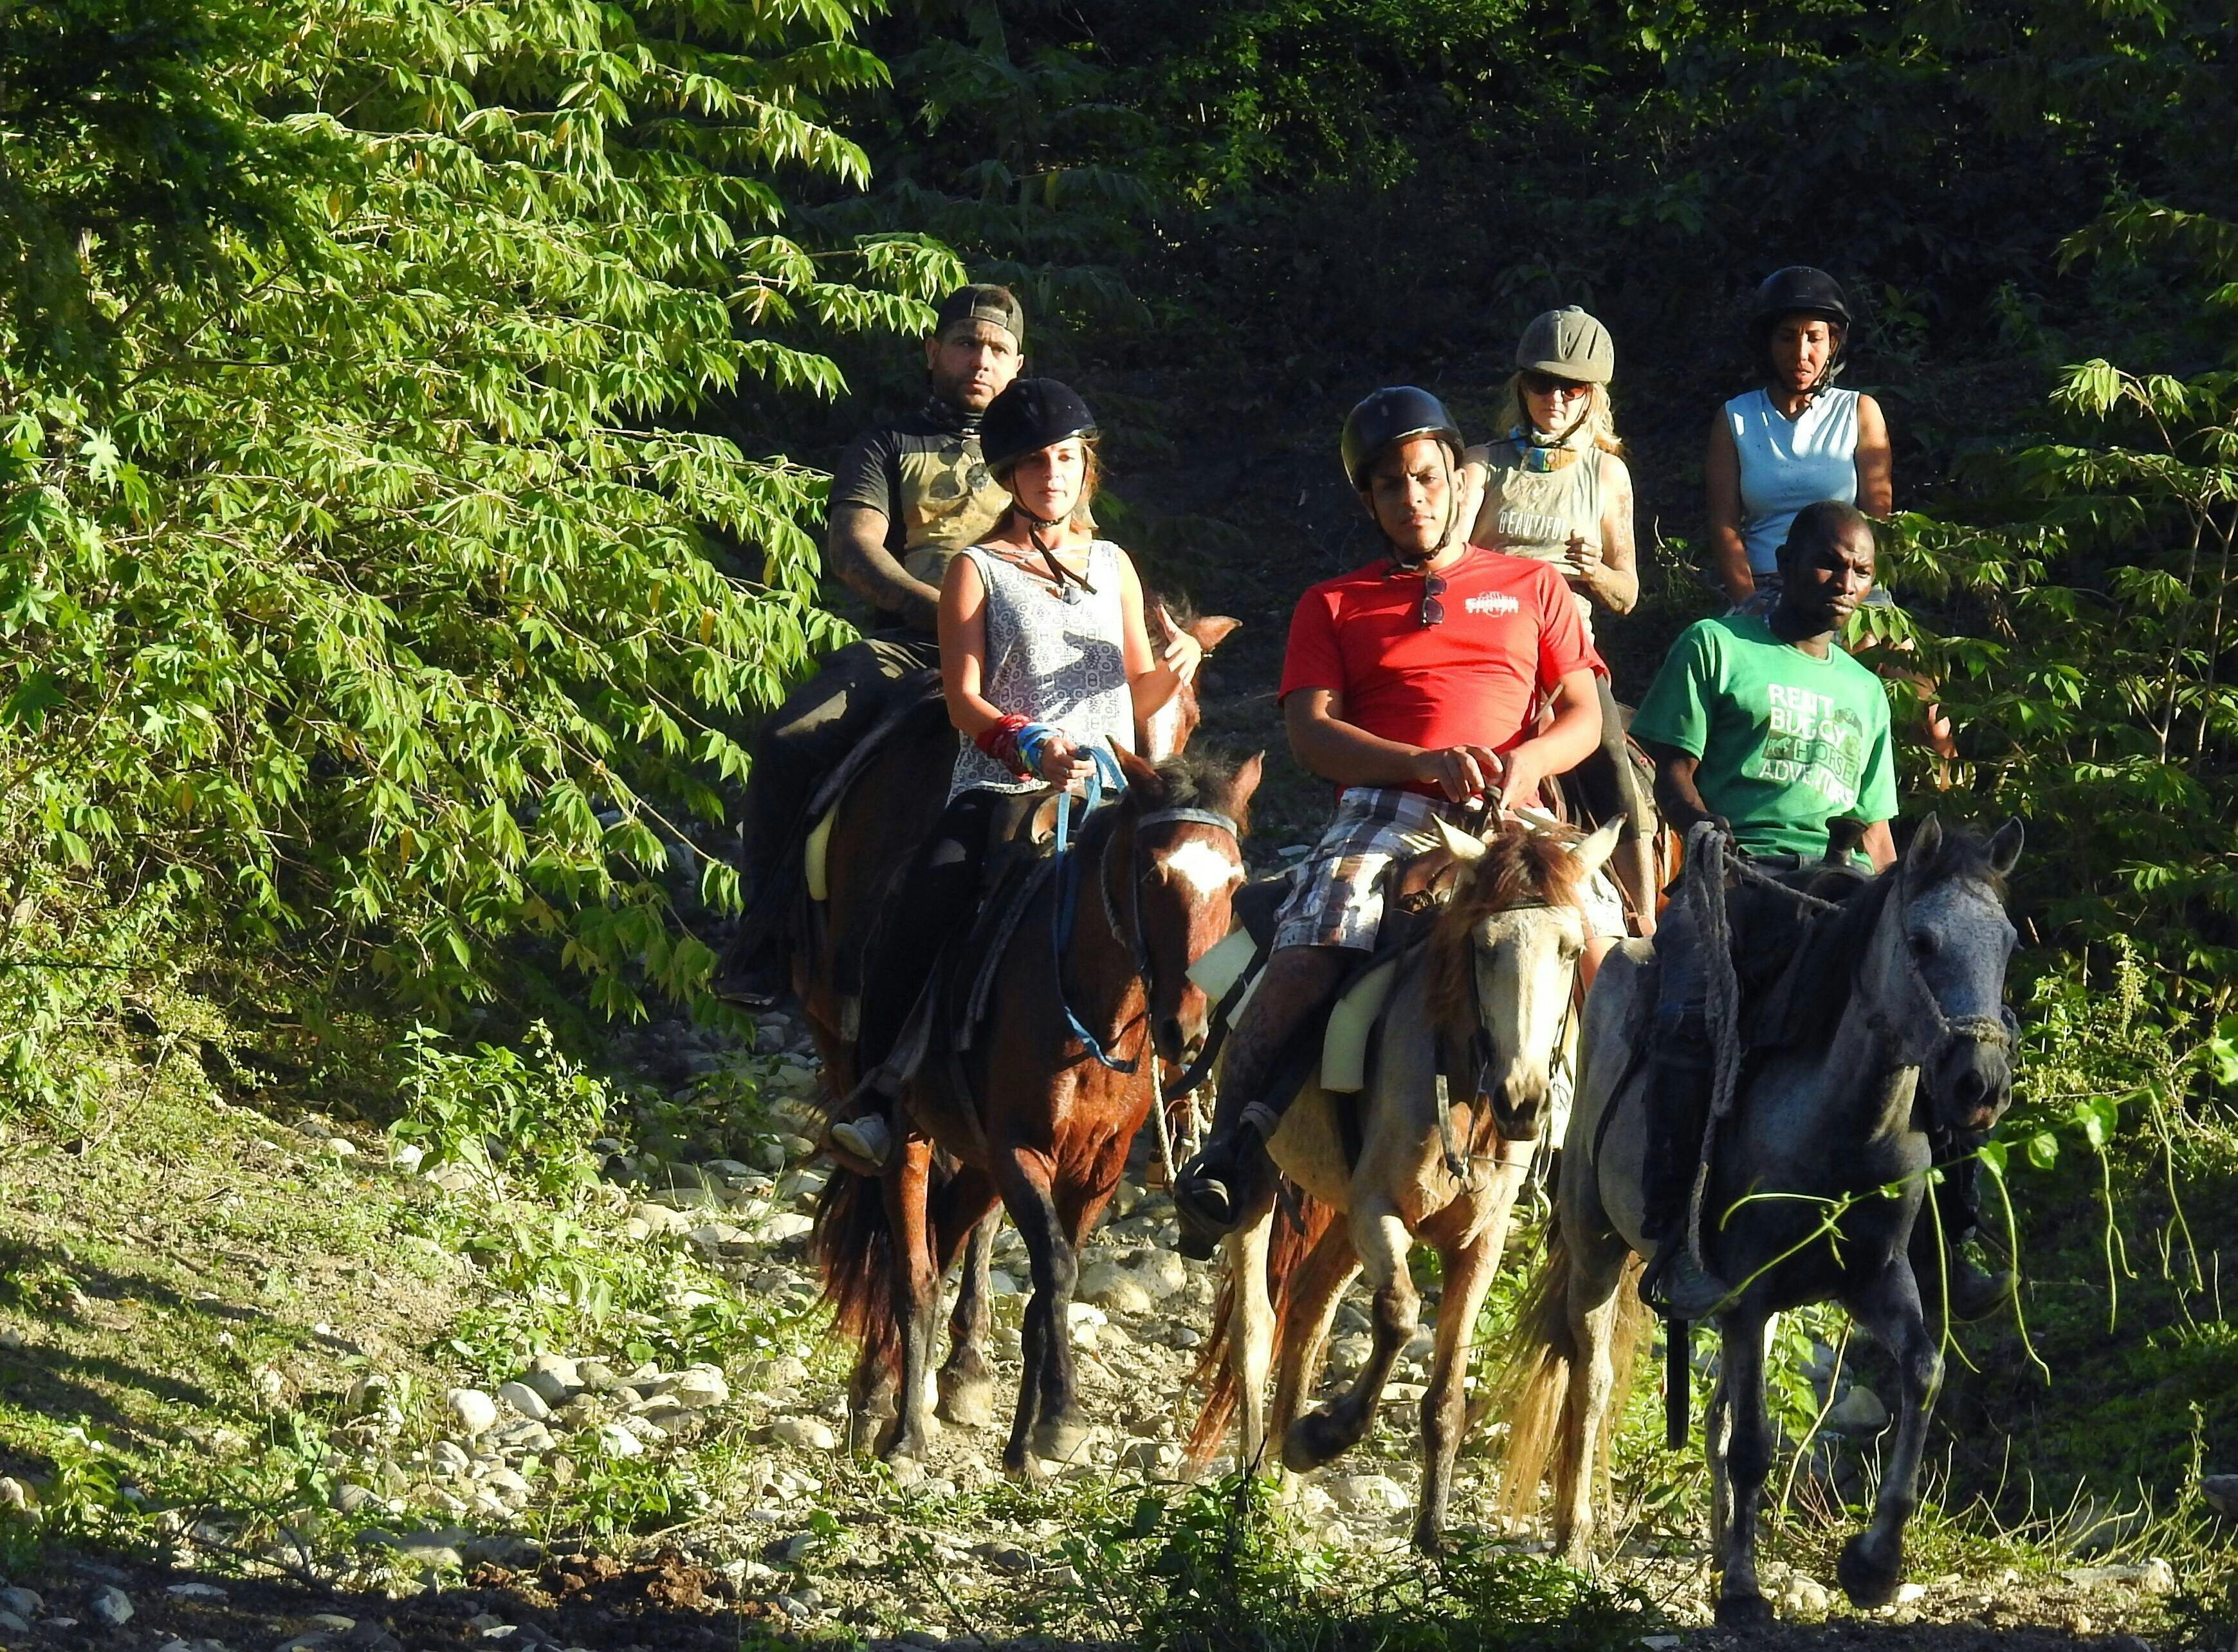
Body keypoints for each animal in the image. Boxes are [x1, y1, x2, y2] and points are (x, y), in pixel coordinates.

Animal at [1199, 819, 1620, 1548]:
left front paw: (1430, 1533)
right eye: (1483, 947)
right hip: (1260, 1180)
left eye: (1570, 950)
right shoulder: (1377, 1210)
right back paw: (1256, 1483)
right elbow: (1396, 1316)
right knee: (1256, 1324)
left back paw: (1282, 1484)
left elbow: (1446, 1392)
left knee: (1309, 1307)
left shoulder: (1477, 1243)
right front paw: (1321, 1436)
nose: (1522, 1102)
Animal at [1494, 819, 2023, 1611]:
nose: (1979, 1087)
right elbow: (1748, 1446)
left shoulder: (1873, 1281)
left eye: (2008, 943)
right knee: (1589, 1386)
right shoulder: (1747, 1296)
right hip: (1596, 1245)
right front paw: (1745, 1591)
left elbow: (1922, 1375)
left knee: (1710, 1413)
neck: (1839, 1131)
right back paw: (1576, 1540)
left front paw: (1871, 1564)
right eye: (1922, 941)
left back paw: (1716, 1548)